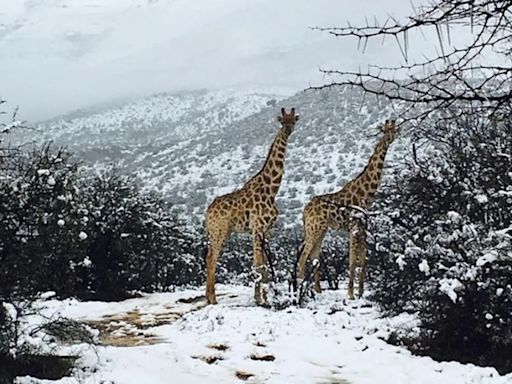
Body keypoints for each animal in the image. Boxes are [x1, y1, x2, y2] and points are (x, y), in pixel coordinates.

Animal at [205, 106, 298, 304]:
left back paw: (208, 297)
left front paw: (265, 298)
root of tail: (207, 212)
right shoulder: (257, 228)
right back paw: (212, 299)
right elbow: (258, 265)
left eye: (294, 120)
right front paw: (260, 300)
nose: (288, 130)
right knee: (211, 258)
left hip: (219, 232)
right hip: (219, 231)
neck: (271, 190)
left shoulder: (267, 230)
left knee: (209, 257)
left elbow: (264, 266)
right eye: (282, 121)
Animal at [298, 118, 398, 298]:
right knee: (303, 256)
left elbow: (363, 259)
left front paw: (361, 292)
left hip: (321, 229)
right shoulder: (354, 226)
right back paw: (301, 289)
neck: (366, 192)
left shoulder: (363, 226)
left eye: (394, 129)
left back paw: (318, 290)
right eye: (385, 130)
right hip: (313, 228)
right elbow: (352, 260)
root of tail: (304, 211)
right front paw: (351, 293)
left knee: (314, 256)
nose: (390, 138)